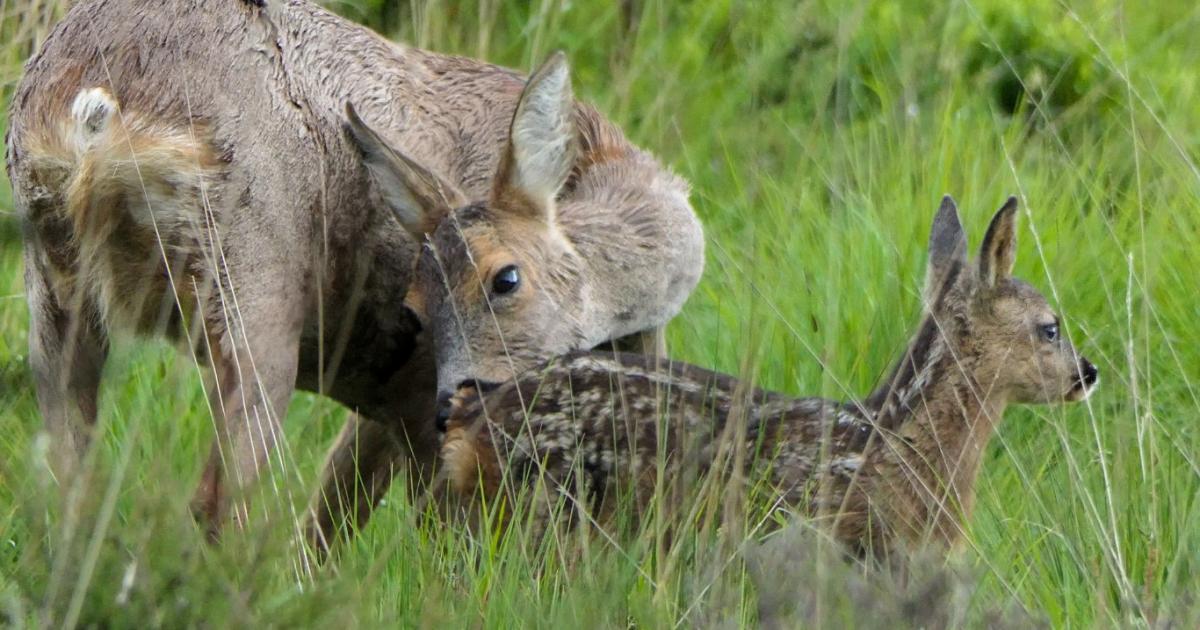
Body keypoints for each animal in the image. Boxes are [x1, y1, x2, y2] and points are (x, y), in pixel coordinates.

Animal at [5, 0, 704, 551]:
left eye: (505, 280)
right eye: (416, 305)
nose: (460, 400)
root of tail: (92, 110)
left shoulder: (392, 398)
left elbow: (331, 520)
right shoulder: (418, 399)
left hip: (55, 282)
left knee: (66, 480)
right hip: (252, 277)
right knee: (218, 499)